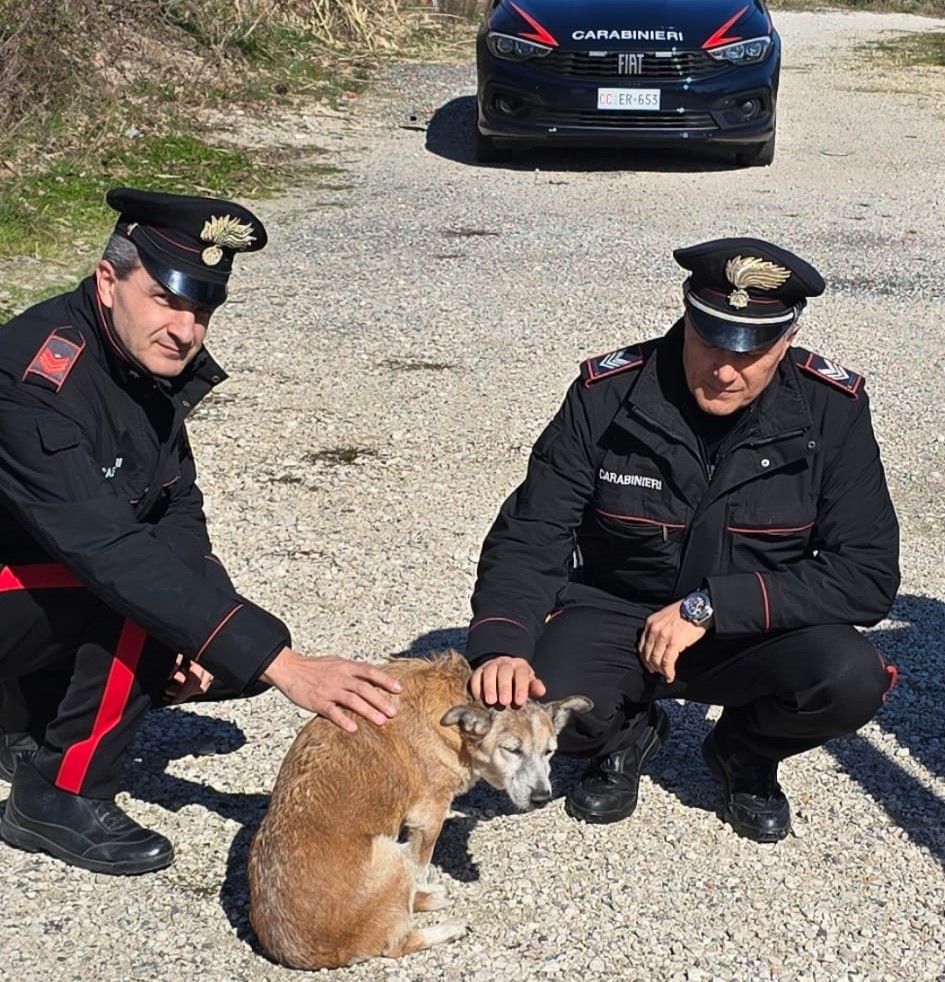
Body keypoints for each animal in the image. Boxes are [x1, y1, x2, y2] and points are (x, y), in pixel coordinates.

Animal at [247, 652, 592, 968]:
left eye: (549, 752)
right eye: (511, 750)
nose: (542, 797)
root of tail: (311, 954)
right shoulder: (429, 818)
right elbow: (421, 866)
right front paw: (426, 892)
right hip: (390, 854)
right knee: (396, 941)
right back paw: (444, 923)